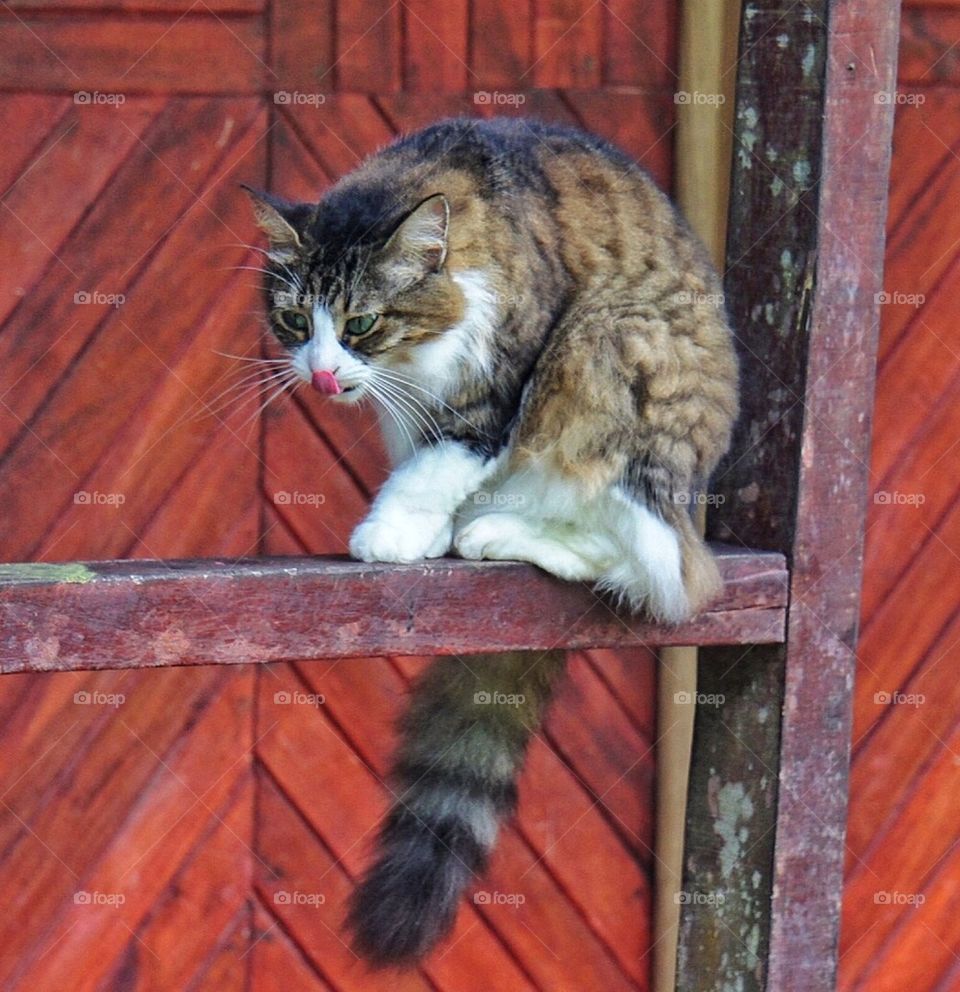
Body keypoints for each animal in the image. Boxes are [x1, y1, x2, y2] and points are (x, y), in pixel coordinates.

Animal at [244, 114, 740, 960]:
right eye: (293, 322)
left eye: (360, 324)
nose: (322, 374)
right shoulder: (407, 408)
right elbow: (424, 461)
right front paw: (422, 533)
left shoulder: (500, 378)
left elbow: (441, 462)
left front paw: (392, 534)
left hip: (602, 349)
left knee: (658, 567)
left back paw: (499, 532)